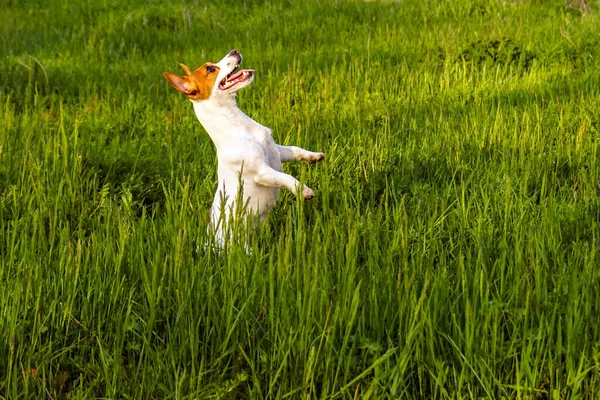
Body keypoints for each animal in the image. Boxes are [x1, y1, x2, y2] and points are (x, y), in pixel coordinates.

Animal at [163, 50, 324, 248]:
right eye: (210, 69)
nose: (234, 51)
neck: (237, 123)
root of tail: (209, 244)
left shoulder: (278, 152)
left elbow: (296, 149)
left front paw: (313, 156)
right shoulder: (262, 172)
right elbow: (286, 177)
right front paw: (303, 190)